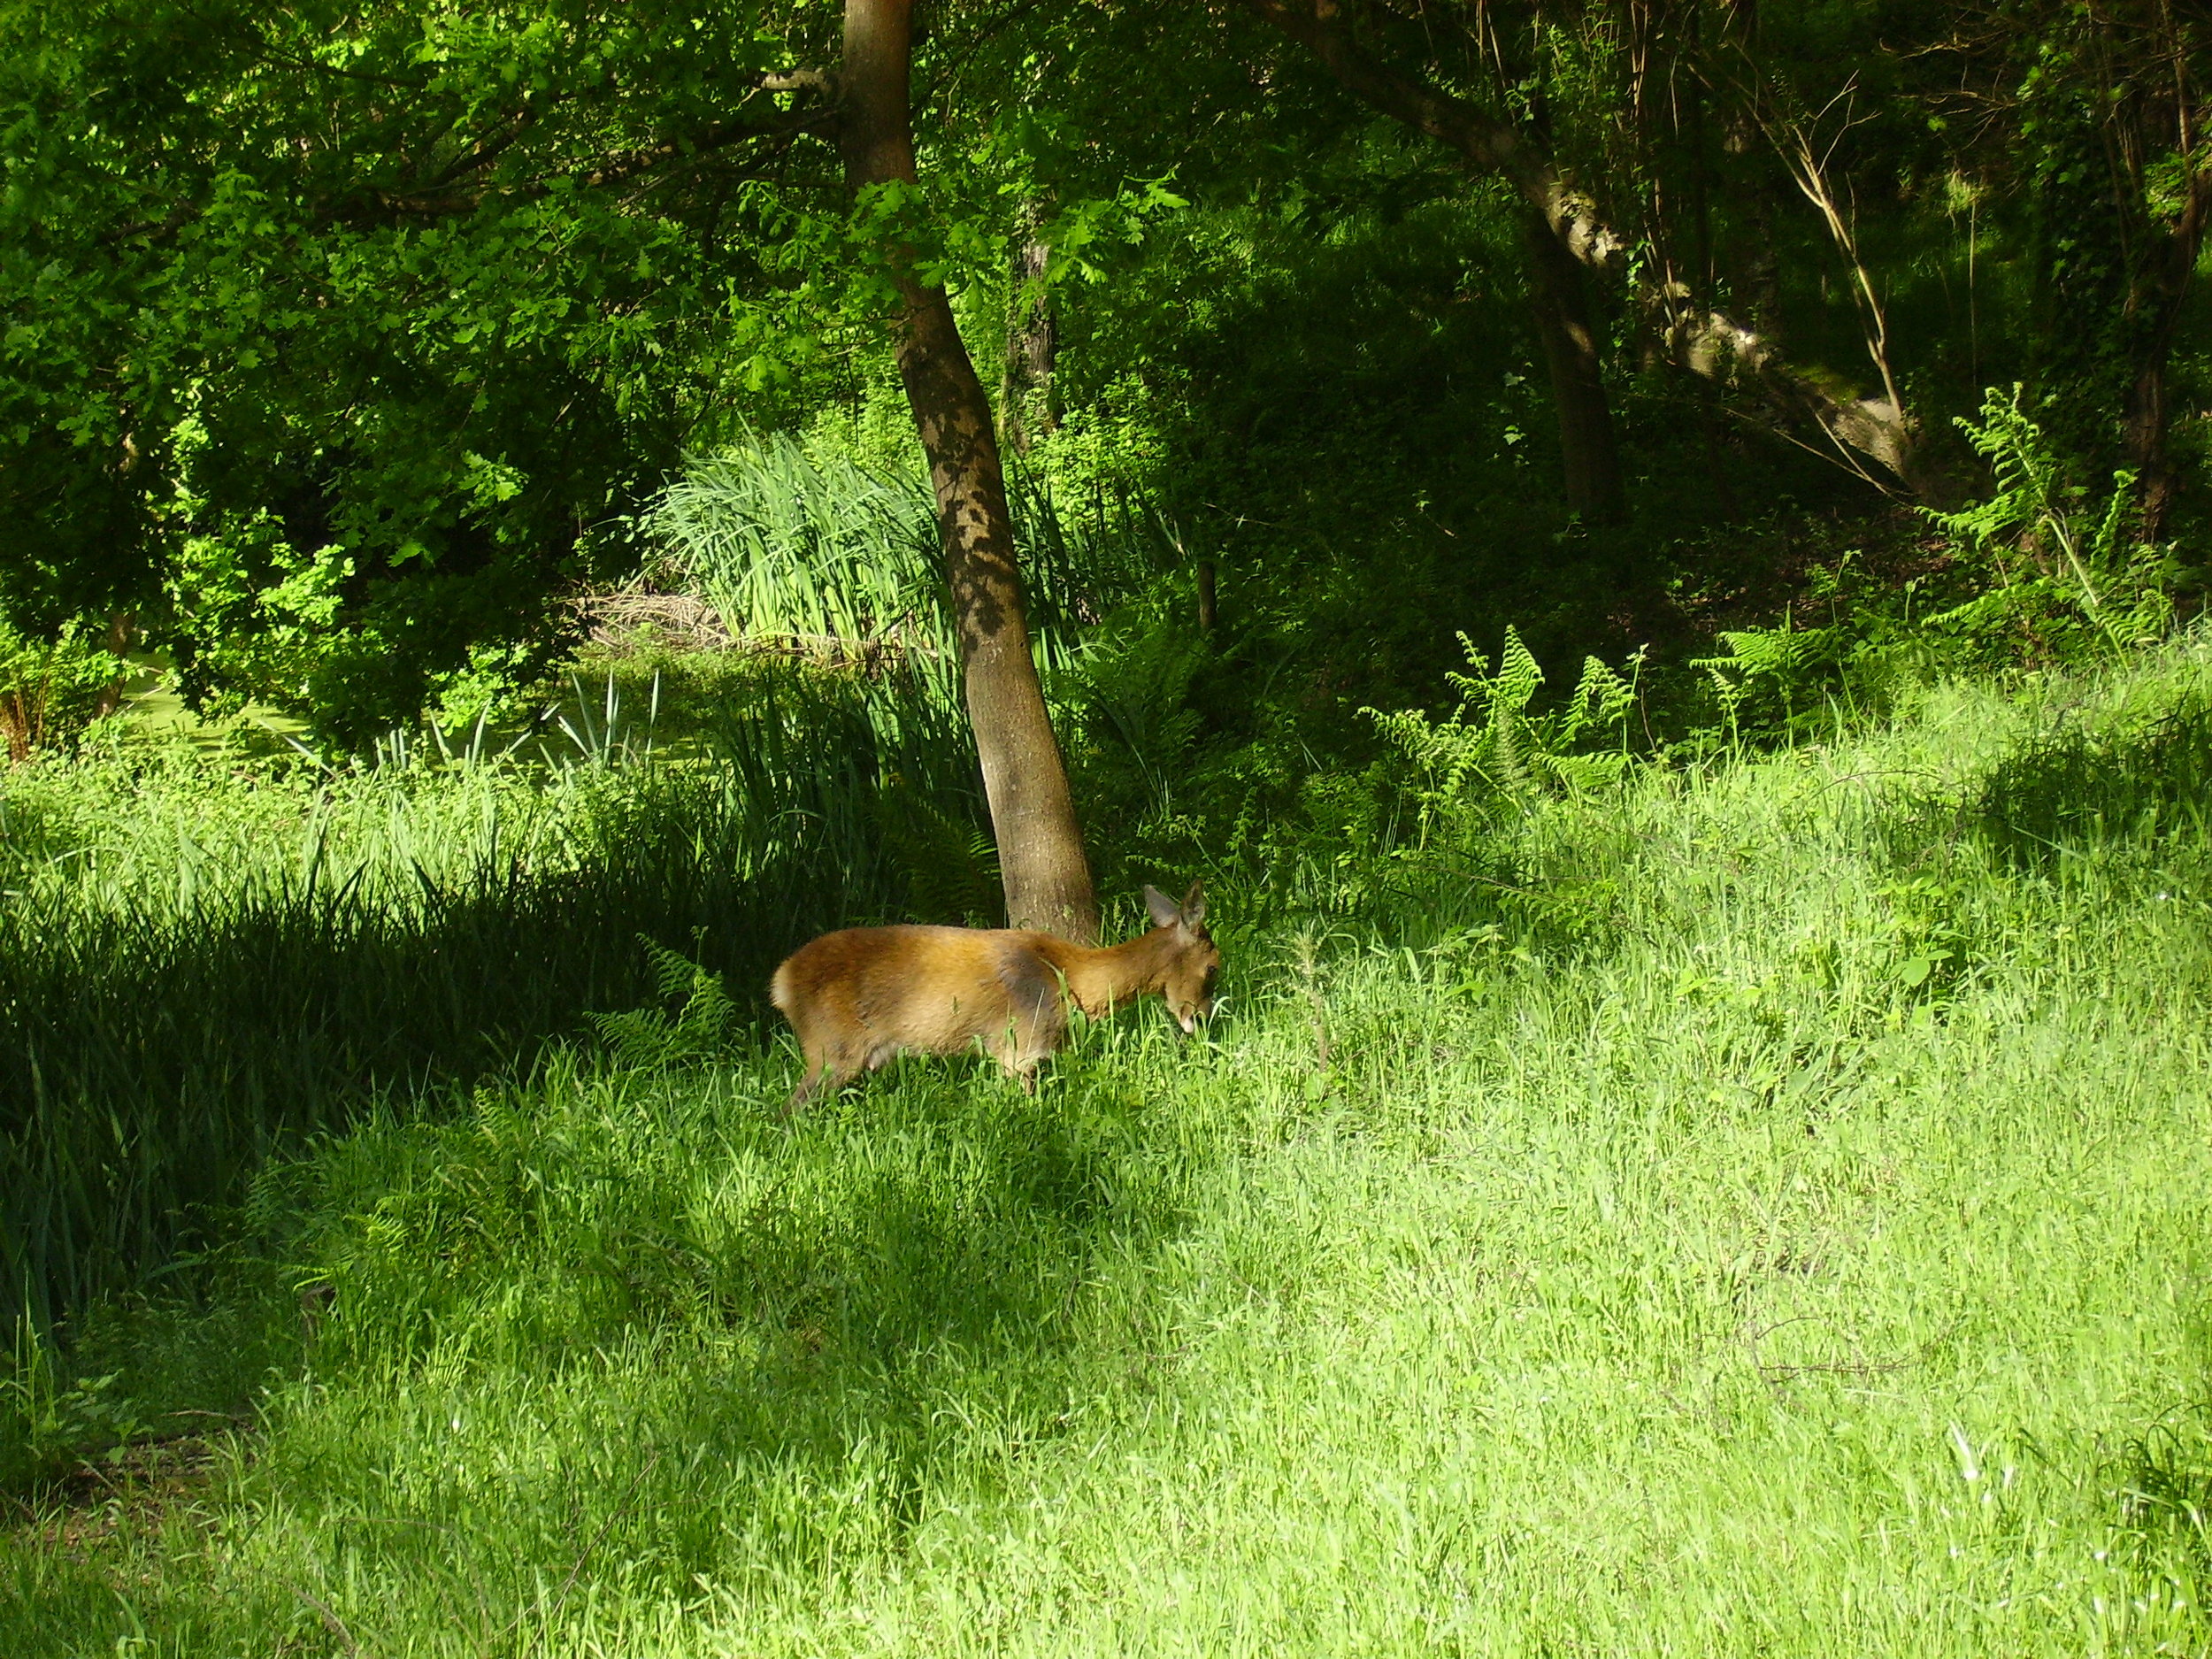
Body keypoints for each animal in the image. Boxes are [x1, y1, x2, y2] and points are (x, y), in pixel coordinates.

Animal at [770, 889, 1221, 1110]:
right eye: (1214, 967)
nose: (1200, 1019)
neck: (1075, 979)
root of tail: (781, 982)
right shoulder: (1020, 1044)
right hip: (832, 1049)